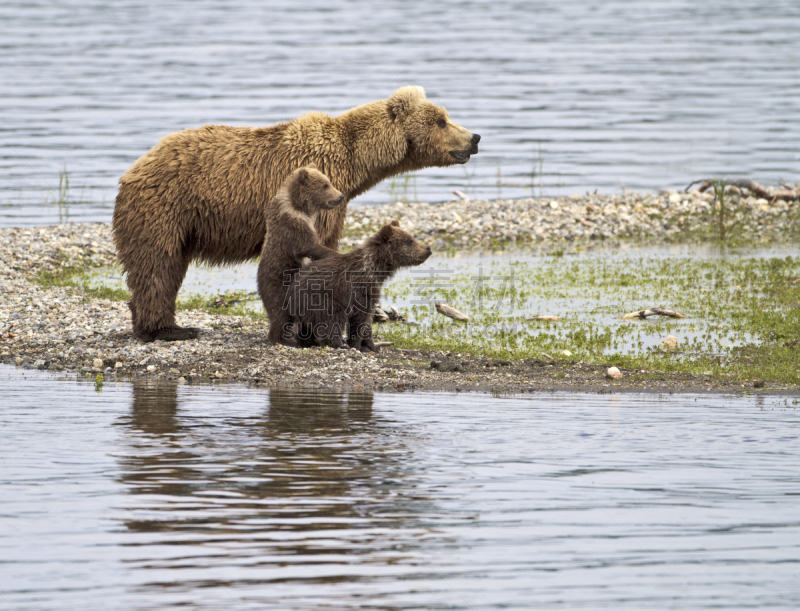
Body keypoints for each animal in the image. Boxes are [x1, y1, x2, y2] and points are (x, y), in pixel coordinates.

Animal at [115, 86, 478, 342]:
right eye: (442, 120)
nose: (475, 137)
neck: (355, 164)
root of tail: (133, 169)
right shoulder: (321, 193)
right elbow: (318, 247)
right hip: (165, 208)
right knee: (157, 266)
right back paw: (166, 330)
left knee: (166, 267)